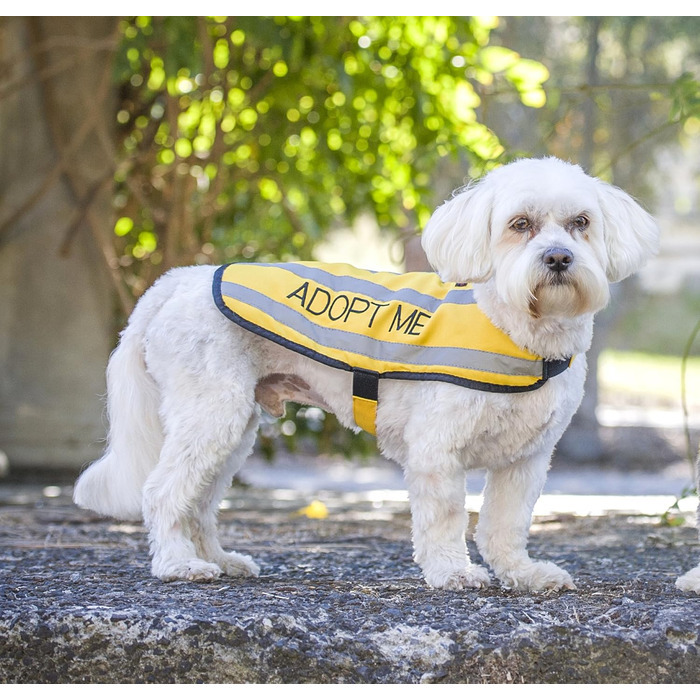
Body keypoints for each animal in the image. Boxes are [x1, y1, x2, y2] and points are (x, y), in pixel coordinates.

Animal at [74, 157, 664, 592]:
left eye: (581, 223)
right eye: (521, 225)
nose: (559, 257)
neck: (514, 326)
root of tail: (177, 281)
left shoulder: (526, 459)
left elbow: (506, 522)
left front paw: (521, 573)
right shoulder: (437, 450)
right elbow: (445, 516)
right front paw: (452, 573)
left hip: (233, 426)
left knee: (199, 501)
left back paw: (220, 559)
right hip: (210, 413)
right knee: (163, 492)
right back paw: (178, 565)